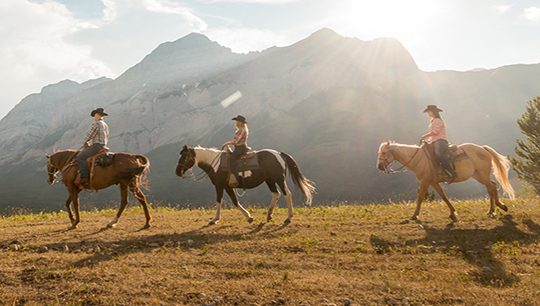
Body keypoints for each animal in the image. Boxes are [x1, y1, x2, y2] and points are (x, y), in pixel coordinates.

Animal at [175, 145, 314, 224]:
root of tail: (279, 154)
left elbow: (232, 201)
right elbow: (223, 201)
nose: (177, 172)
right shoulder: (224, 186)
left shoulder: (221, 186)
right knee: (276, 194)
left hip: (279, 179)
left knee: (287, 194)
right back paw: (269, 215)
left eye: (185, 157)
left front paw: (248, 217)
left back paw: (289, 217)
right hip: (270, 180)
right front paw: (216, 219)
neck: (216, 164)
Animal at [376, 141, 516, 222]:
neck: (420, 159)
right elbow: (443, 196)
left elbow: (420, 197)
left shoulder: (425, 181)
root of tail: (482, 148)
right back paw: (493, 210)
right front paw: (453, 213)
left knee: (491, 187)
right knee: (491, 186)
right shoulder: (433, 182)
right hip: (478, 175)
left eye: (384, 152)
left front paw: (415, 215)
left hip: (482, 174)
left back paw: (499, 206)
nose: (379, 167)